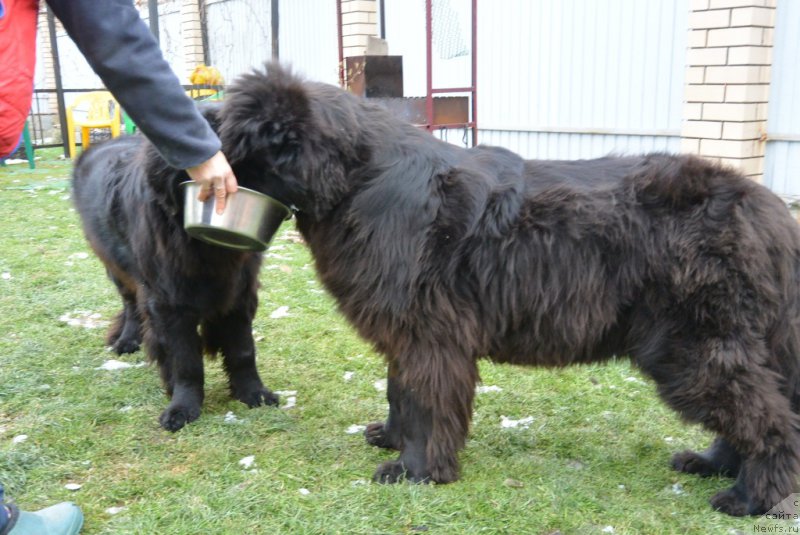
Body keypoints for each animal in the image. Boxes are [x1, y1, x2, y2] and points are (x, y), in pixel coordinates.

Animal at [73, 105, 278, 436]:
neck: (204, 248)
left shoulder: (240, 291)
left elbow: (243, 350)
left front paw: (254, 393)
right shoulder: (168, 302)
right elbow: (185, 361)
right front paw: (183, 407)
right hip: (116, 265)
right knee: (131, 304)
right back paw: (127, 339)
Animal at [212, 63, 800, 520]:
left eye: (238, 153)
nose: (207, 178)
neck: (360, 179)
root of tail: (767, 210)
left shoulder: (430, 334)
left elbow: (425, 401)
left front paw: (416, 470)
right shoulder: (408, 333)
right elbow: (400, 391)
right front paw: (394, 438)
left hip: (690, 344)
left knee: (768, 418)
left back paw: (752, 497)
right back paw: (712, 464)